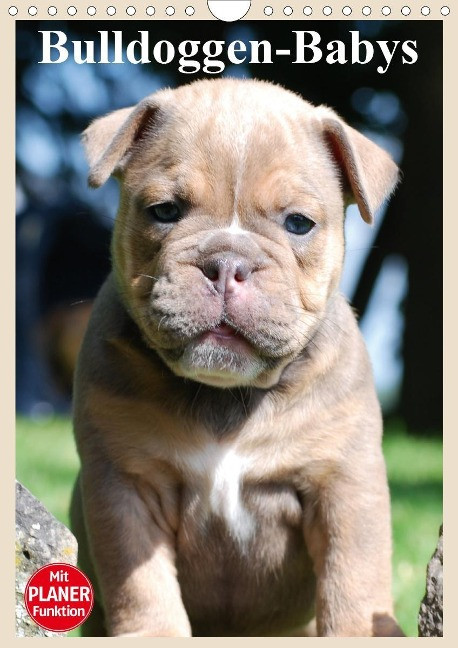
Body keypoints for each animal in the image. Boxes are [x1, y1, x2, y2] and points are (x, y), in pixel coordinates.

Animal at [70, 78, 403, 637]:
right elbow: (141, 584)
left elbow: (353, 581)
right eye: (165, 211)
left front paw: (358, 633)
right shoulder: (126, 483)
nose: (227, 263)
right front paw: (154, 634)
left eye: (299, 224)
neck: (228, 394)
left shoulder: (344, 485)